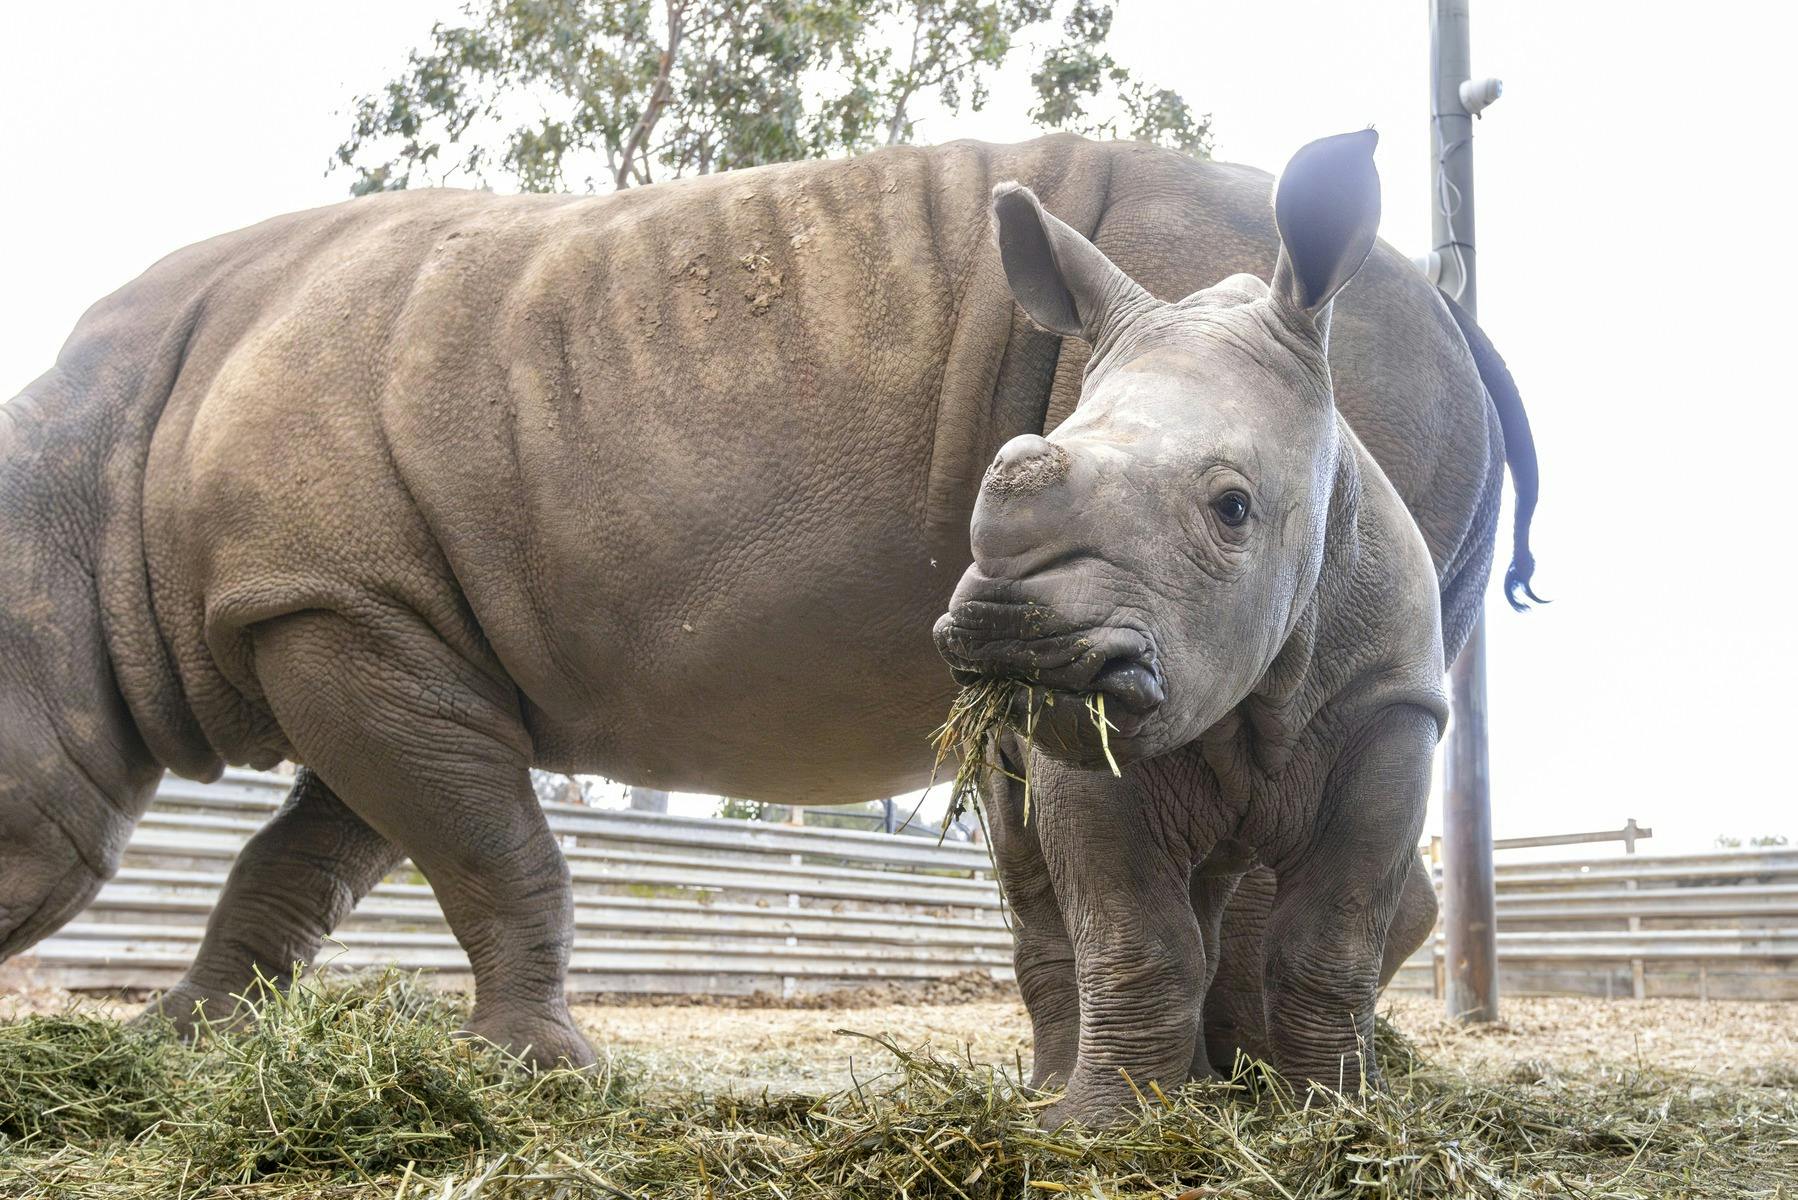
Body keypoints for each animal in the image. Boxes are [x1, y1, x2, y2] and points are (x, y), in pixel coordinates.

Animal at [0, 130, 1536, 1115]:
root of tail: (1450, 305)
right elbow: (316, 856)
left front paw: (538, 1076)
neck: (77, 505)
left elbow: (477, 847)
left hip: (1332, 349)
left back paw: (1267, 1098)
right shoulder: (361, 616)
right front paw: (189, 1036)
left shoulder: (339, 612)